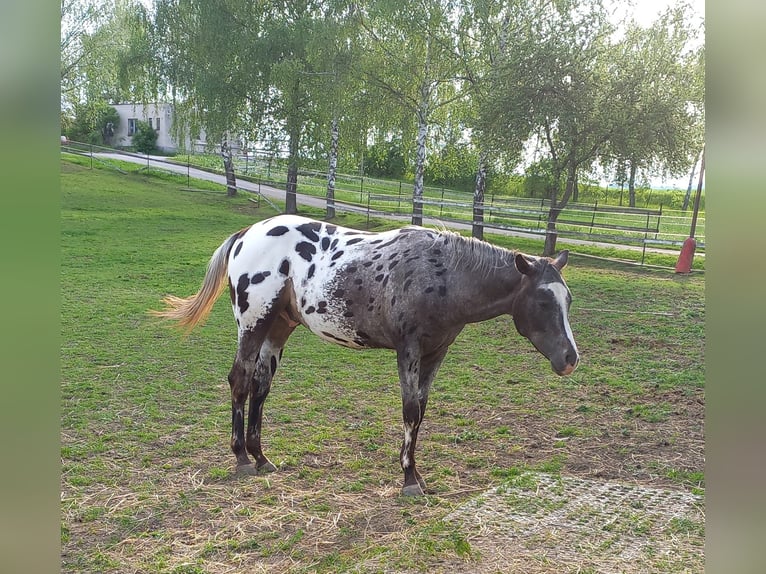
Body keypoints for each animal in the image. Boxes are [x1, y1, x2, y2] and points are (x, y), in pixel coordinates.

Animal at [153, 214, 580, 498]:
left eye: (569, 299)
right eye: (544, 300)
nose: (570, 358)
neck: (442, 273)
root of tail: (246, 234)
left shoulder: (436, 353)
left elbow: (422, 410)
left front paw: (415, 474)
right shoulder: (408, 350)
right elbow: (410, 411)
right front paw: (409, 479)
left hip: (278, 328)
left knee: (260, 386)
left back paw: (261, 458)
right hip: (253, 325)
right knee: (240, 382)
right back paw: (242, 458)